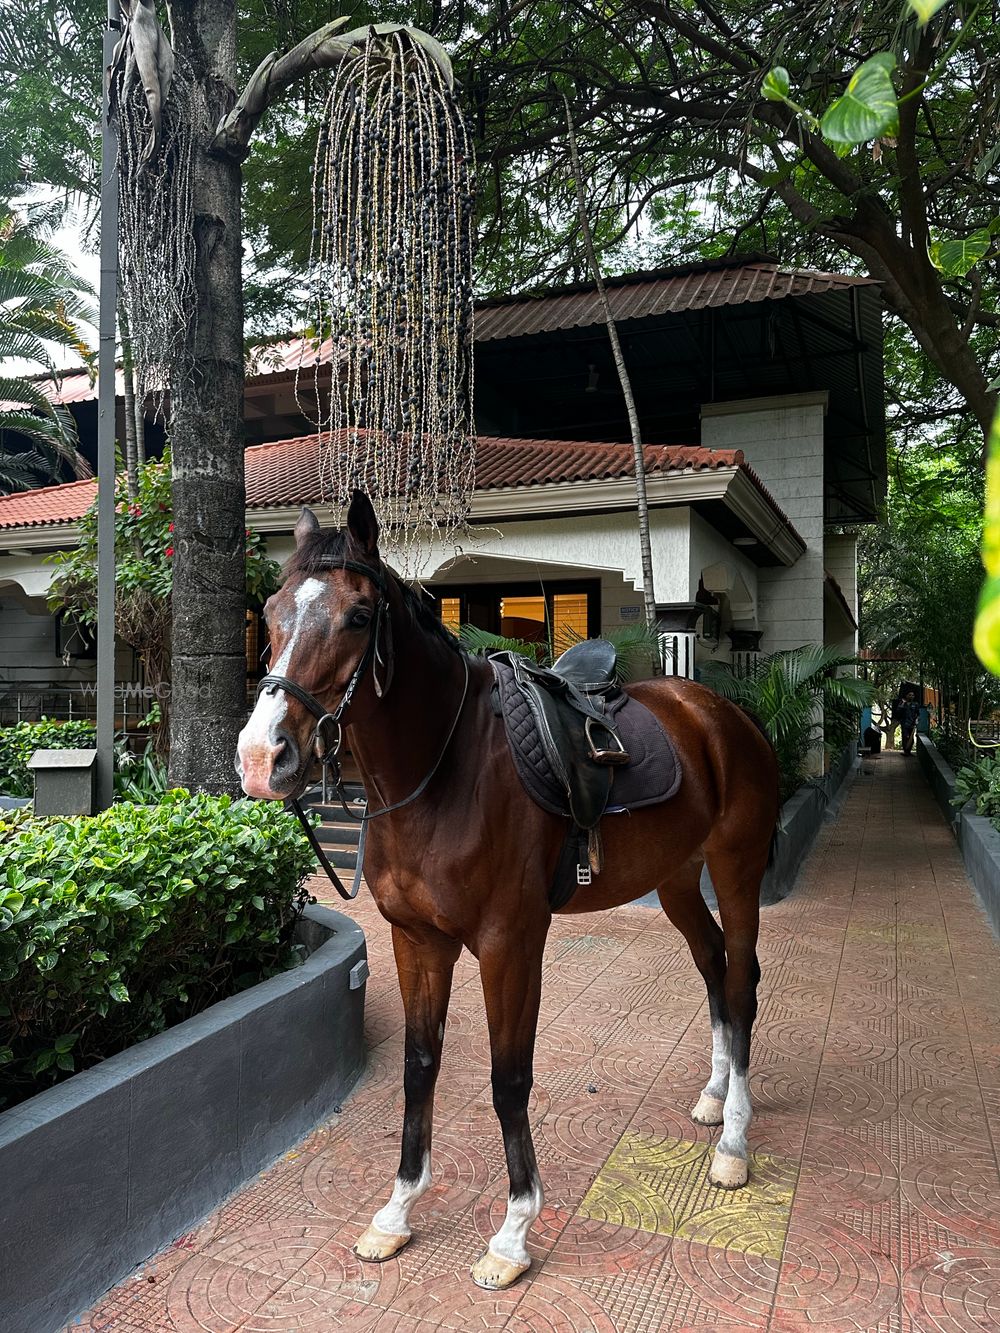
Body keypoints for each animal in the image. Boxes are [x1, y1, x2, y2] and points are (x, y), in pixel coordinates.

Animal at [237, 493, 784, 1290]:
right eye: (273, 612)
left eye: (359, 616)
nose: (261, 757)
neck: (443, 773)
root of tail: (723, 714)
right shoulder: (416, 939)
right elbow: (420, 1066)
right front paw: (396, 1212)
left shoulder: (509, 943)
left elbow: (508, 1077)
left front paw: (514, 1231)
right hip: (678, 879)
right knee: (712, 966)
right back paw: (715, 1098)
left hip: (736, 869)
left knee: (739, 978)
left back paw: (735, 1142)